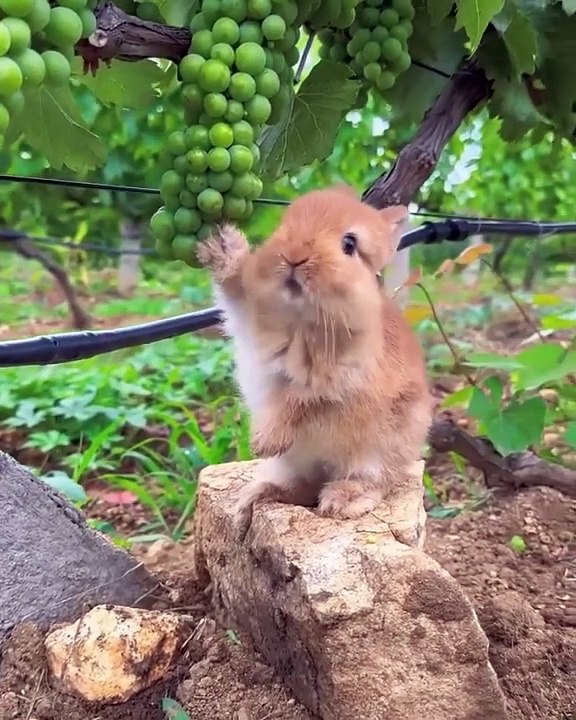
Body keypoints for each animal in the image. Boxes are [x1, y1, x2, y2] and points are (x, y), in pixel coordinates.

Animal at [197, 184, 433, 539]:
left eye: (349, 244)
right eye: (286, 223)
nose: (294, 257)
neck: (300, 317)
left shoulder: (334, 381)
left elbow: (297, 403)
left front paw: (264, 443)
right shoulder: (247, 316)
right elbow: (232, 288)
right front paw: (222, 244)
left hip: (382, 446)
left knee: (372, 480)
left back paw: (340, 501)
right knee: (302, 487)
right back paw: (256, 496)